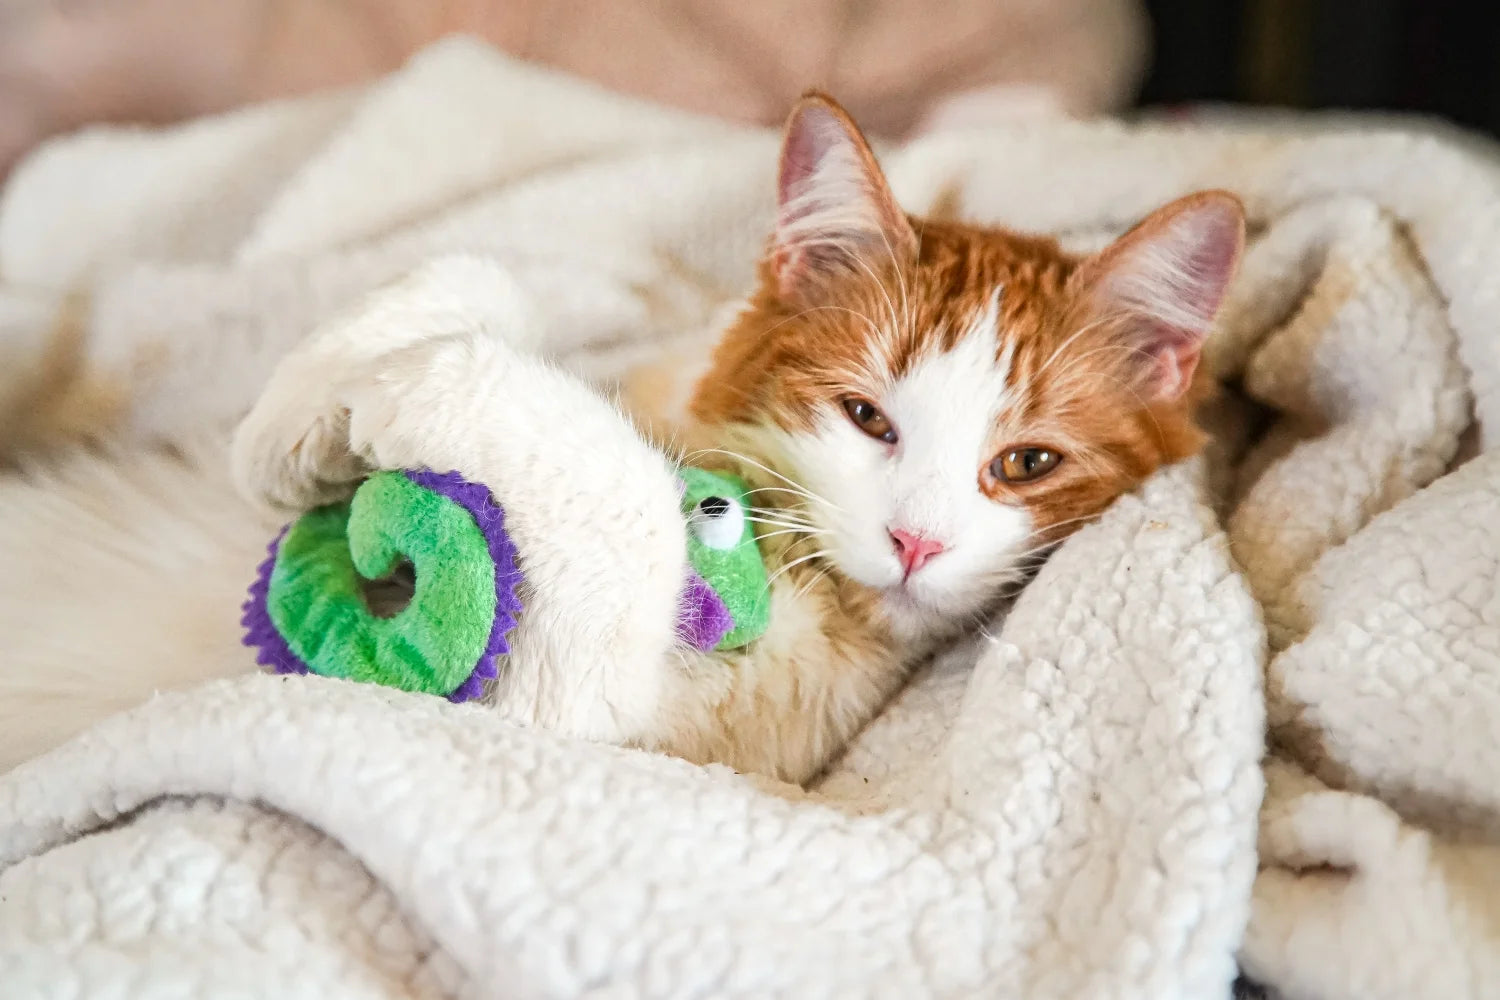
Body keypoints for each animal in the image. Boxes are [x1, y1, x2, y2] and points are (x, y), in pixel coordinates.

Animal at [0, 93, 1242, 779]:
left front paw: (402, 387)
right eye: (866, 416)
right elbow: (483, 276)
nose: (917, 544)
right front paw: (296, 416)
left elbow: (621, 499)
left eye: (1025, 464)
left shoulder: (585, 713)